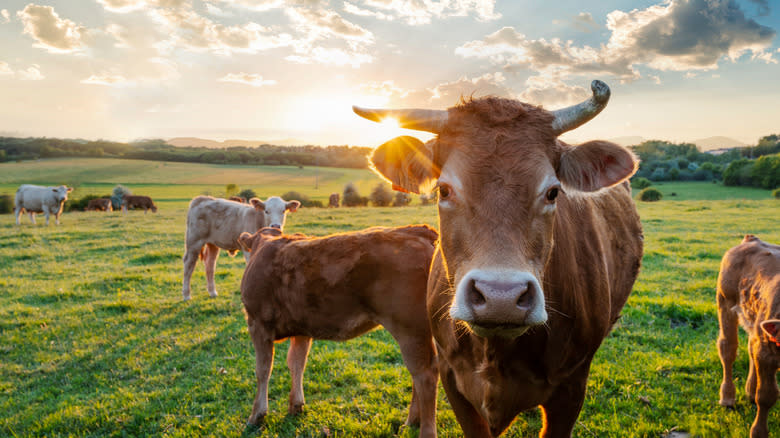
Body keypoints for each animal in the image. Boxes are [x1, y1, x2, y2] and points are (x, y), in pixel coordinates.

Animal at [238, 226, 442, 438]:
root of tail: (415, 231)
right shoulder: (301, 329)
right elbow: (296, 363)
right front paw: (296, 405)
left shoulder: (257, 323)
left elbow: (263, 370)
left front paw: (256, 416)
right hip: (419, 332)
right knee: (421, 373)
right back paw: (411, 422)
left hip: (409, 330)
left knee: (425, 374)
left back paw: (424, 429)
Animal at [720, 234, 780, 438]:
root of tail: (752, 239)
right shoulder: (768, 354)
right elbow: (767, 395)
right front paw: (758, 432)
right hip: (725, 301)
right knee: (728, 349)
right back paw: (728, 398)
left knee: (751, 348)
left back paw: (750, 391)